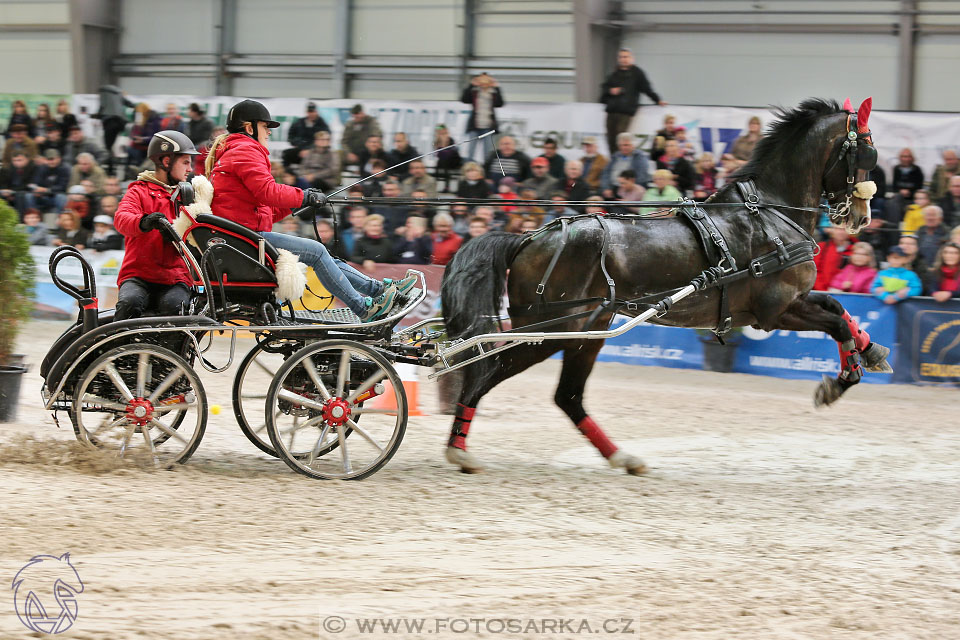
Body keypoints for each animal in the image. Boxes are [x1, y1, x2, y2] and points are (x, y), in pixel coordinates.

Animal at [440, 96, 892, 476]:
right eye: (866, 151)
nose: (862, 217)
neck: (767, 212)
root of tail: (527, 238)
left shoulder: (793, 300)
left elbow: (839, 308)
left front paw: (870, 351)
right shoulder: (775, 310)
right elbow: (835, 321)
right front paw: (840, 382)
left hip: (586, 331)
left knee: (567, 396)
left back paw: (622, 457)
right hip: (552, 329)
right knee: (489, 371)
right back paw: (458, 449)